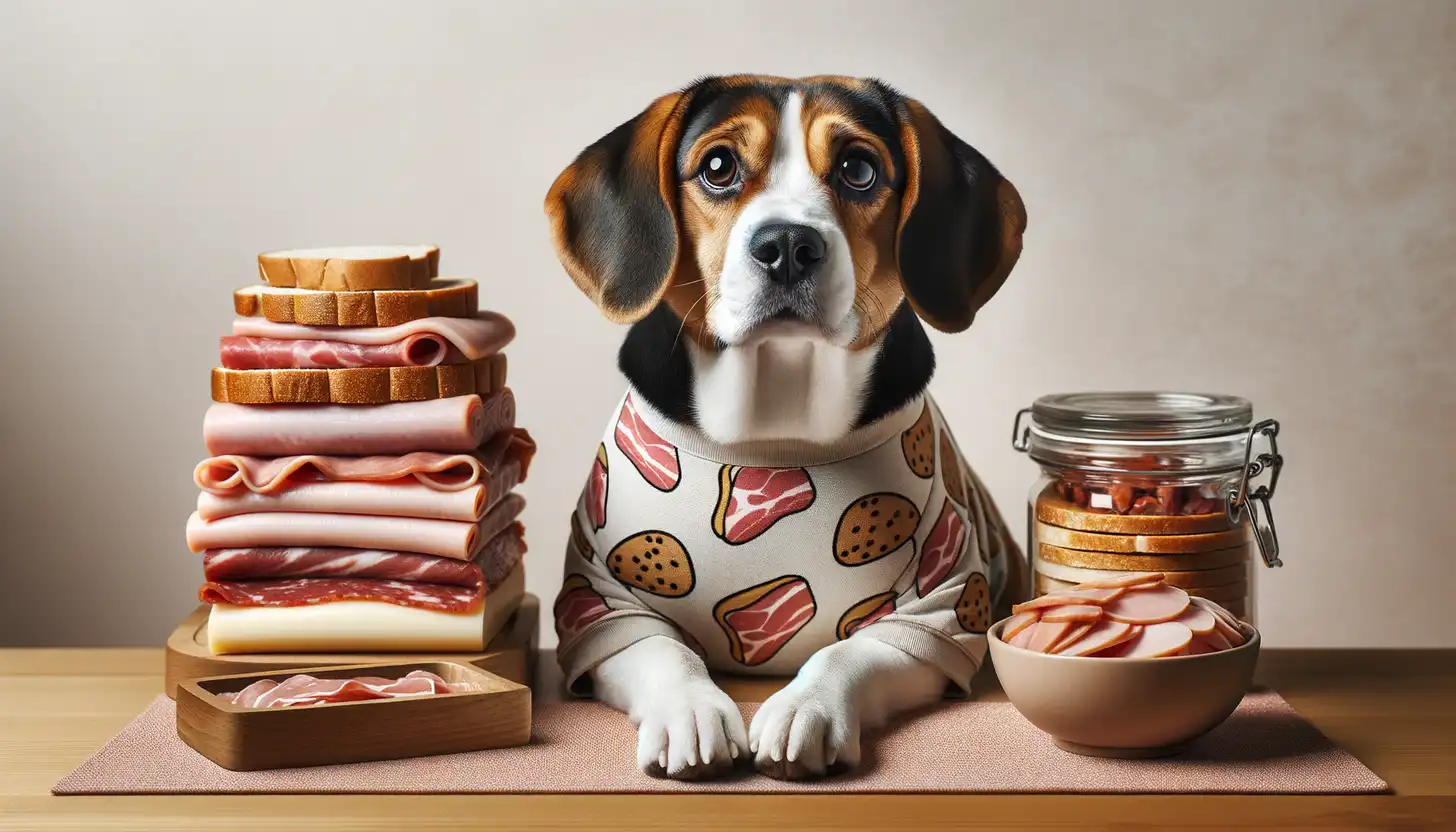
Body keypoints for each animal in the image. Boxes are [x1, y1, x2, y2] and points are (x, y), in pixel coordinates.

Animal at [547, 76, 1036, 781]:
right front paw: (692, 713)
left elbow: (846, 652)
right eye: (717, 166)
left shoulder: (939, 607)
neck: (774, 431)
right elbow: (668, 651)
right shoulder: (603, 602)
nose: (786, 246)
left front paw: (807, 709)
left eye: (859, 169)